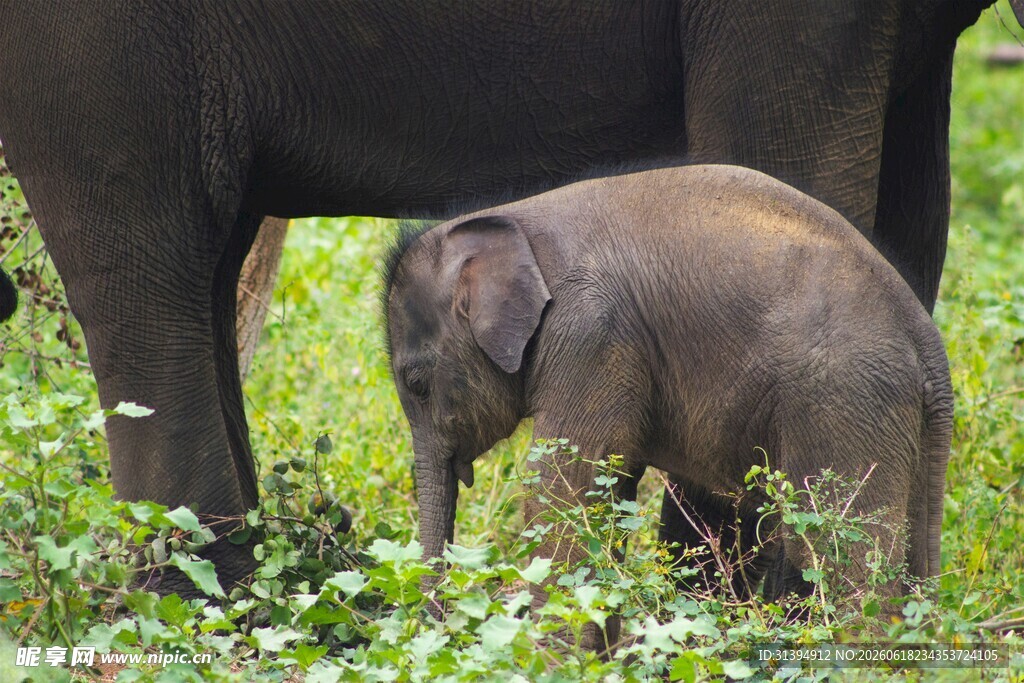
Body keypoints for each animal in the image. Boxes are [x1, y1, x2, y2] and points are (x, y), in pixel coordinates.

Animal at [383, 164, 954, 647]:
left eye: (417, 383)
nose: (435, 627)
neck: (512, 218)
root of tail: (926, 339)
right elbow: (610, 483)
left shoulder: (592, 331)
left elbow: (567, 485)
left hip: (845, 402)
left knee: (836, 553)